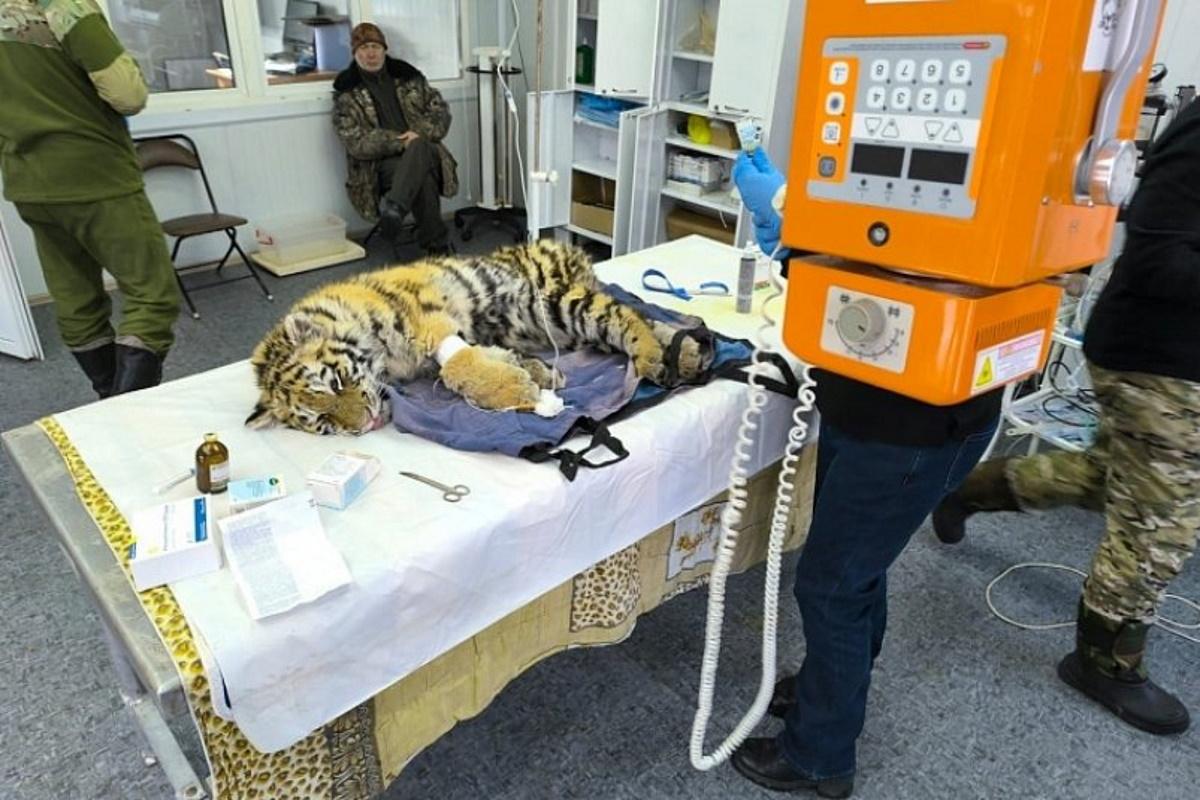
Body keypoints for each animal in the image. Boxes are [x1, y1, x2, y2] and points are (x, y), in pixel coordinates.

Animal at [246, 240, 709, 435]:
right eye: (322, 421)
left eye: (338, 382)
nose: (367, 425)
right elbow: (495, 357)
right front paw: (538, 377)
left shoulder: (428, 324)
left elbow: (463, 366)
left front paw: (519, 390)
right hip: (558, 326)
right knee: (641, 318)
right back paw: (687, 354)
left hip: (550, 302)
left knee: (624, 314)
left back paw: (654, 359)